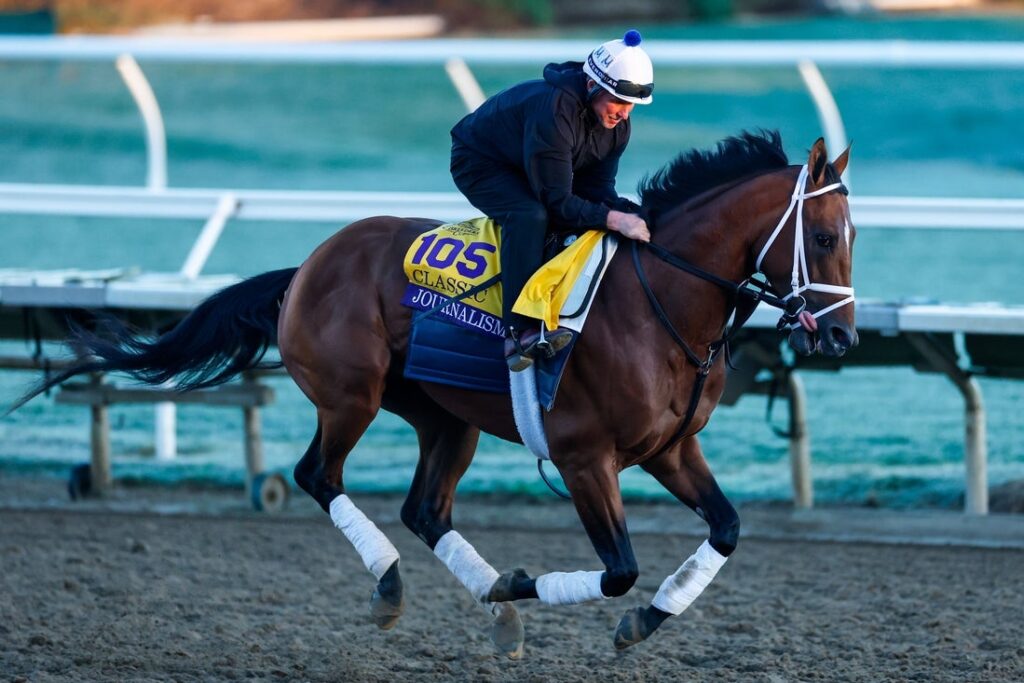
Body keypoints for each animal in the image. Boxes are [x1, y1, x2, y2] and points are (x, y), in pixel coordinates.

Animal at [13, 131, 857, 658]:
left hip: (447, 419)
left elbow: (727, 528)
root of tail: (308, 265)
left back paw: (497, 606)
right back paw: (398, 583)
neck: (658, 302)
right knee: (318, 475)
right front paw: (546, 587)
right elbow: (618, 566)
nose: (844, 336)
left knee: (425, 508)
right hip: (350, 395)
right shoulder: (586, 457)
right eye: (821, 238)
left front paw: (645, 618)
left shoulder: (670, 448)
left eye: (853, 237)